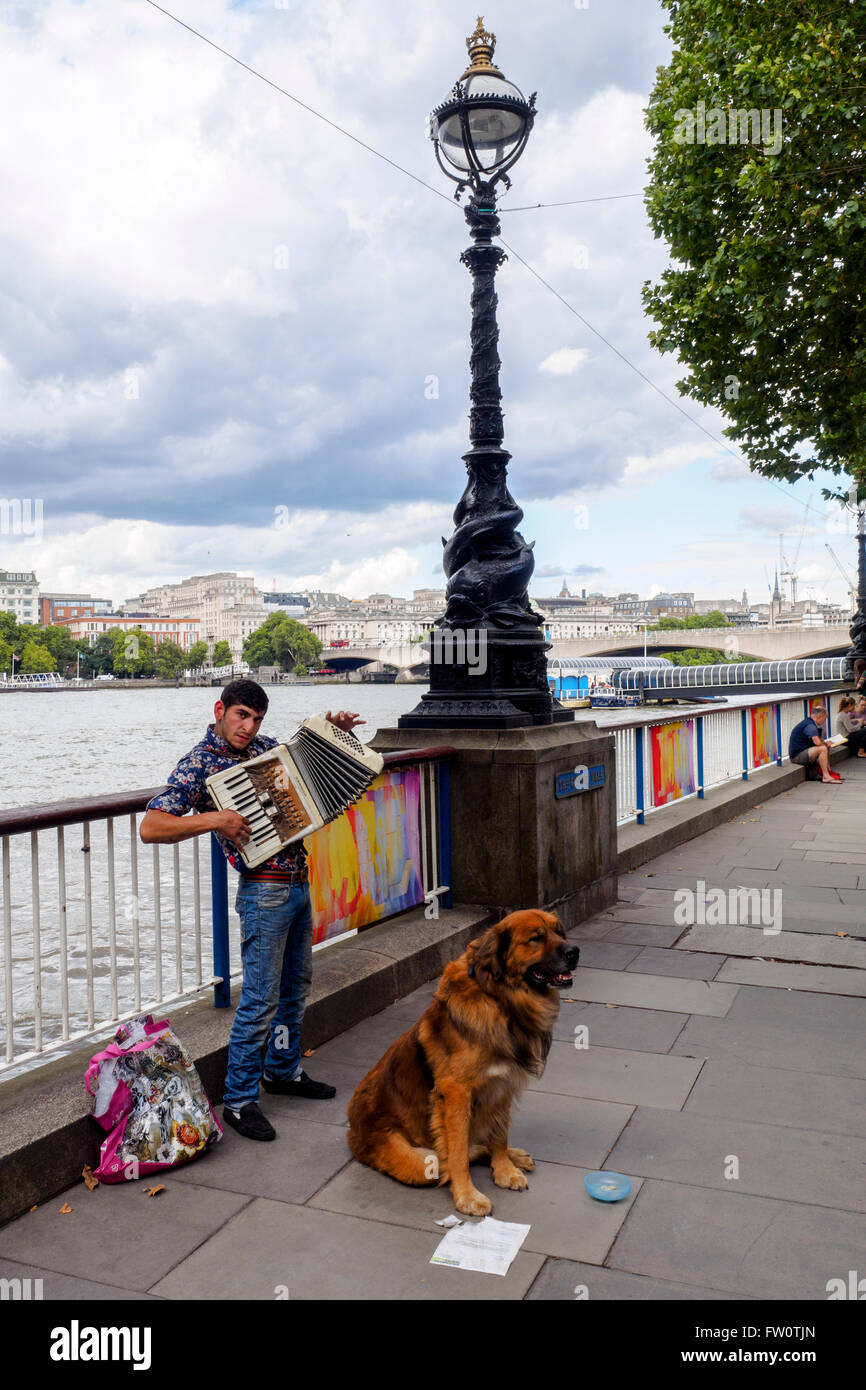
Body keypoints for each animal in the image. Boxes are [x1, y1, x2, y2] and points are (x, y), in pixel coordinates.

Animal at [347, 906, 583, 1212]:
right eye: (536, 938)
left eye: (559, 932)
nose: (575, 951)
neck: (499, 999)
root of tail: (352, 1131)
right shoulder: (456, 1092)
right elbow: (457, 1152)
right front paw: (467, 1195)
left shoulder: (502, 1084)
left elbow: (499, 1134)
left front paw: (504, 1169)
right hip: (419, 1159)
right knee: (443, 1159)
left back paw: (512, 1155)